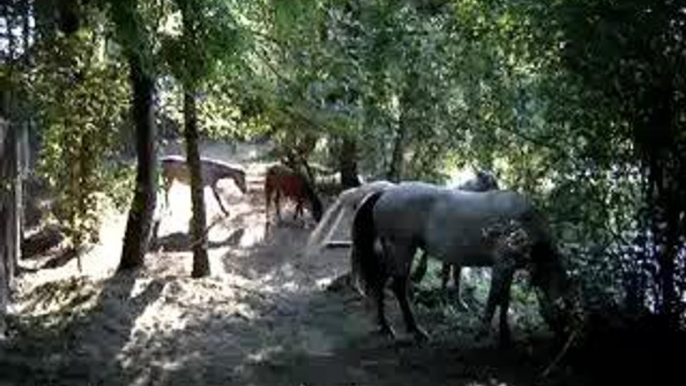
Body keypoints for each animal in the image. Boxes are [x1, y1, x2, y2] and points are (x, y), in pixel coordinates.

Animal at [352, 182, 572, 346]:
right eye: (566, 307)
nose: (564, 337)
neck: (522, 226)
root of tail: (386, 192)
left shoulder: (508, 269)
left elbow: (504, 300)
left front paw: (505, 334)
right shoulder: (502, 265)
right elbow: (494, 299)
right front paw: (483, 332)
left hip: (393, 251)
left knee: (380, 282)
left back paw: (386, 326)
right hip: (402, 249)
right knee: (397, 286)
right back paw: (415, 330)